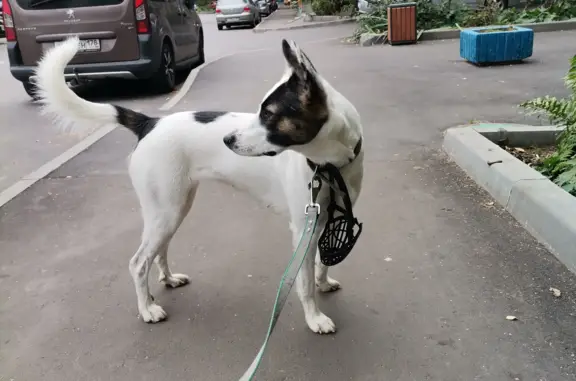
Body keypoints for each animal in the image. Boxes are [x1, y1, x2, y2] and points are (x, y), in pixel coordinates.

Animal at [33, 36, 364, 332]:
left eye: (269, 114)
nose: (227, 140)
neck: (329, 164)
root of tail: (149, 123)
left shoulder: (325, 221)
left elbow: (323, 262)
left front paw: (323, 282)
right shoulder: (304, 228)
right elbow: (304, 282)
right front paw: (314, 318)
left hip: (174, 207)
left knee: (158, 251)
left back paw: (167, 280)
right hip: (166, 211)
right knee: (138, 262)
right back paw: (147, 309)